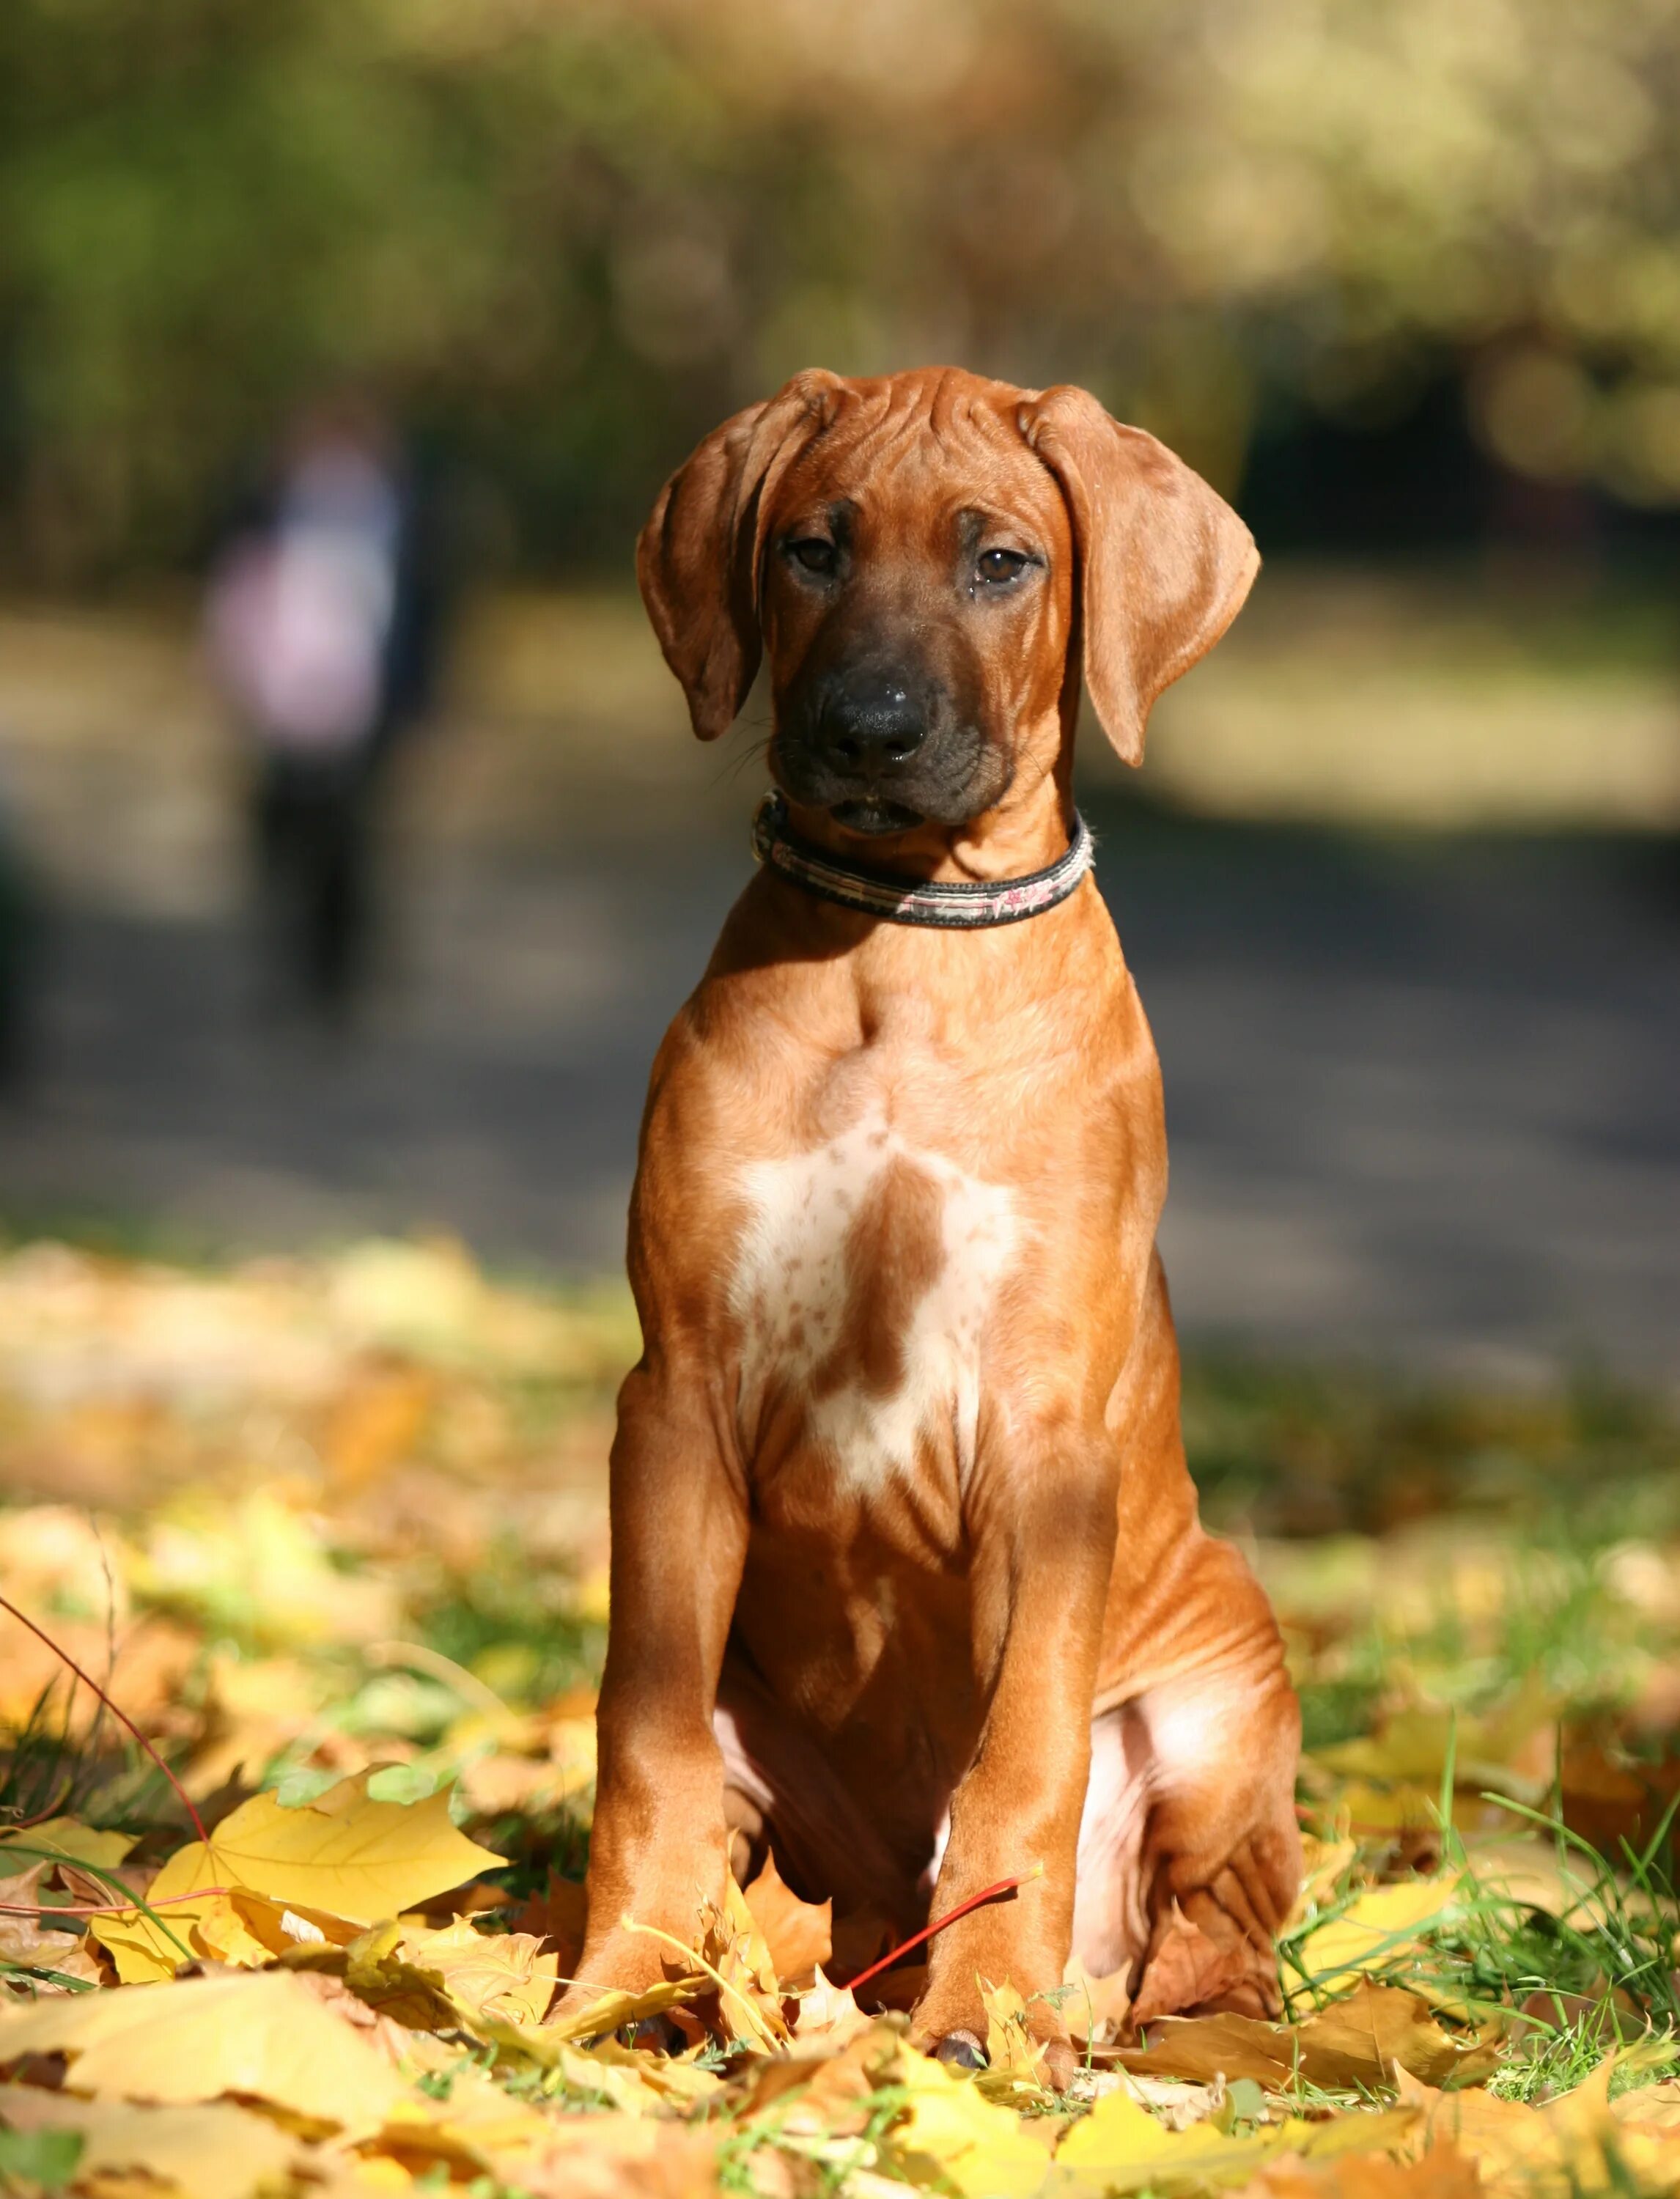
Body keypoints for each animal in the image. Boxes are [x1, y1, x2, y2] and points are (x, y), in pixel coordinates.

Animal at [561, 369, 1302, 2067]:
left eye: (1002, 563)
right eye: (813, 549)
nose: (870, 730)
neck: (905, 946)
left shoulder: (1047, 1446)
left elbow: (1022, 1763)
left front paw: (987, 2023)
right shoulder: (679, 1397)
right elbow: (643, 1751)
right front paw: (596, 1993)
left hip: (1229, 1672)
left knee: (1212, 1928)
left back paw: (1123, 2021)